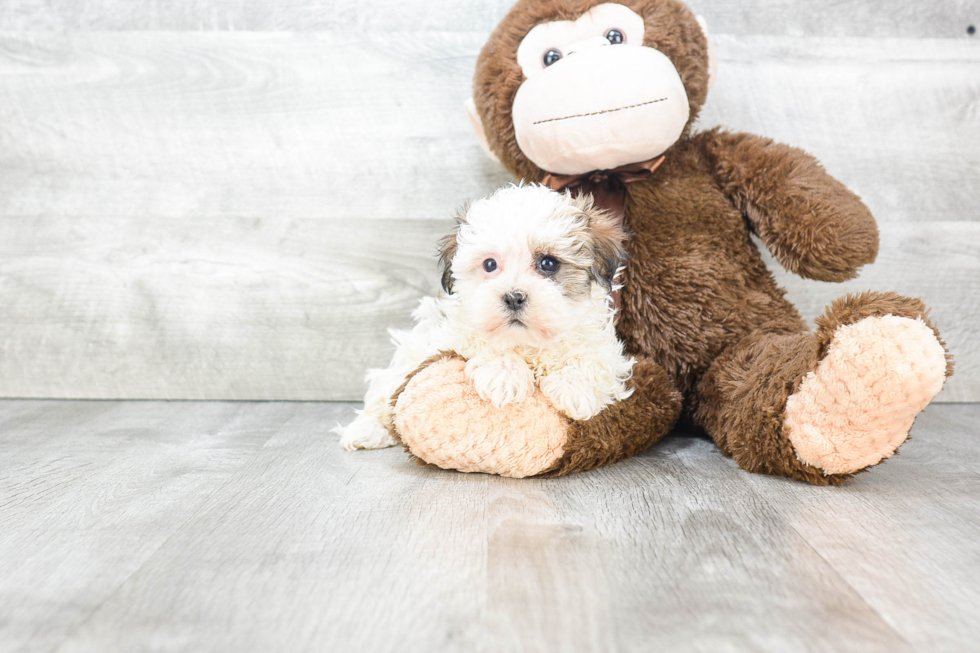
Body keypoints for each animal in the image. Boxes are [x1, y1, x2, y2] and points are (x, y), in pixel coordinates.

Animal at [336, 182, 636, 448]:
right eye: (490, 265)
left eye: (549, 263)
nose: (513, 297)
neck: (528, 344)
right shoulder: (448, 334)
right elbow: (482, 342)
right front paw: (504, 376)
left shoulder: (606, 348)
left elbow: (594, 358)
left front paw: (574, 387)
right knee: (383, 395)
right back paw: (366, 431)